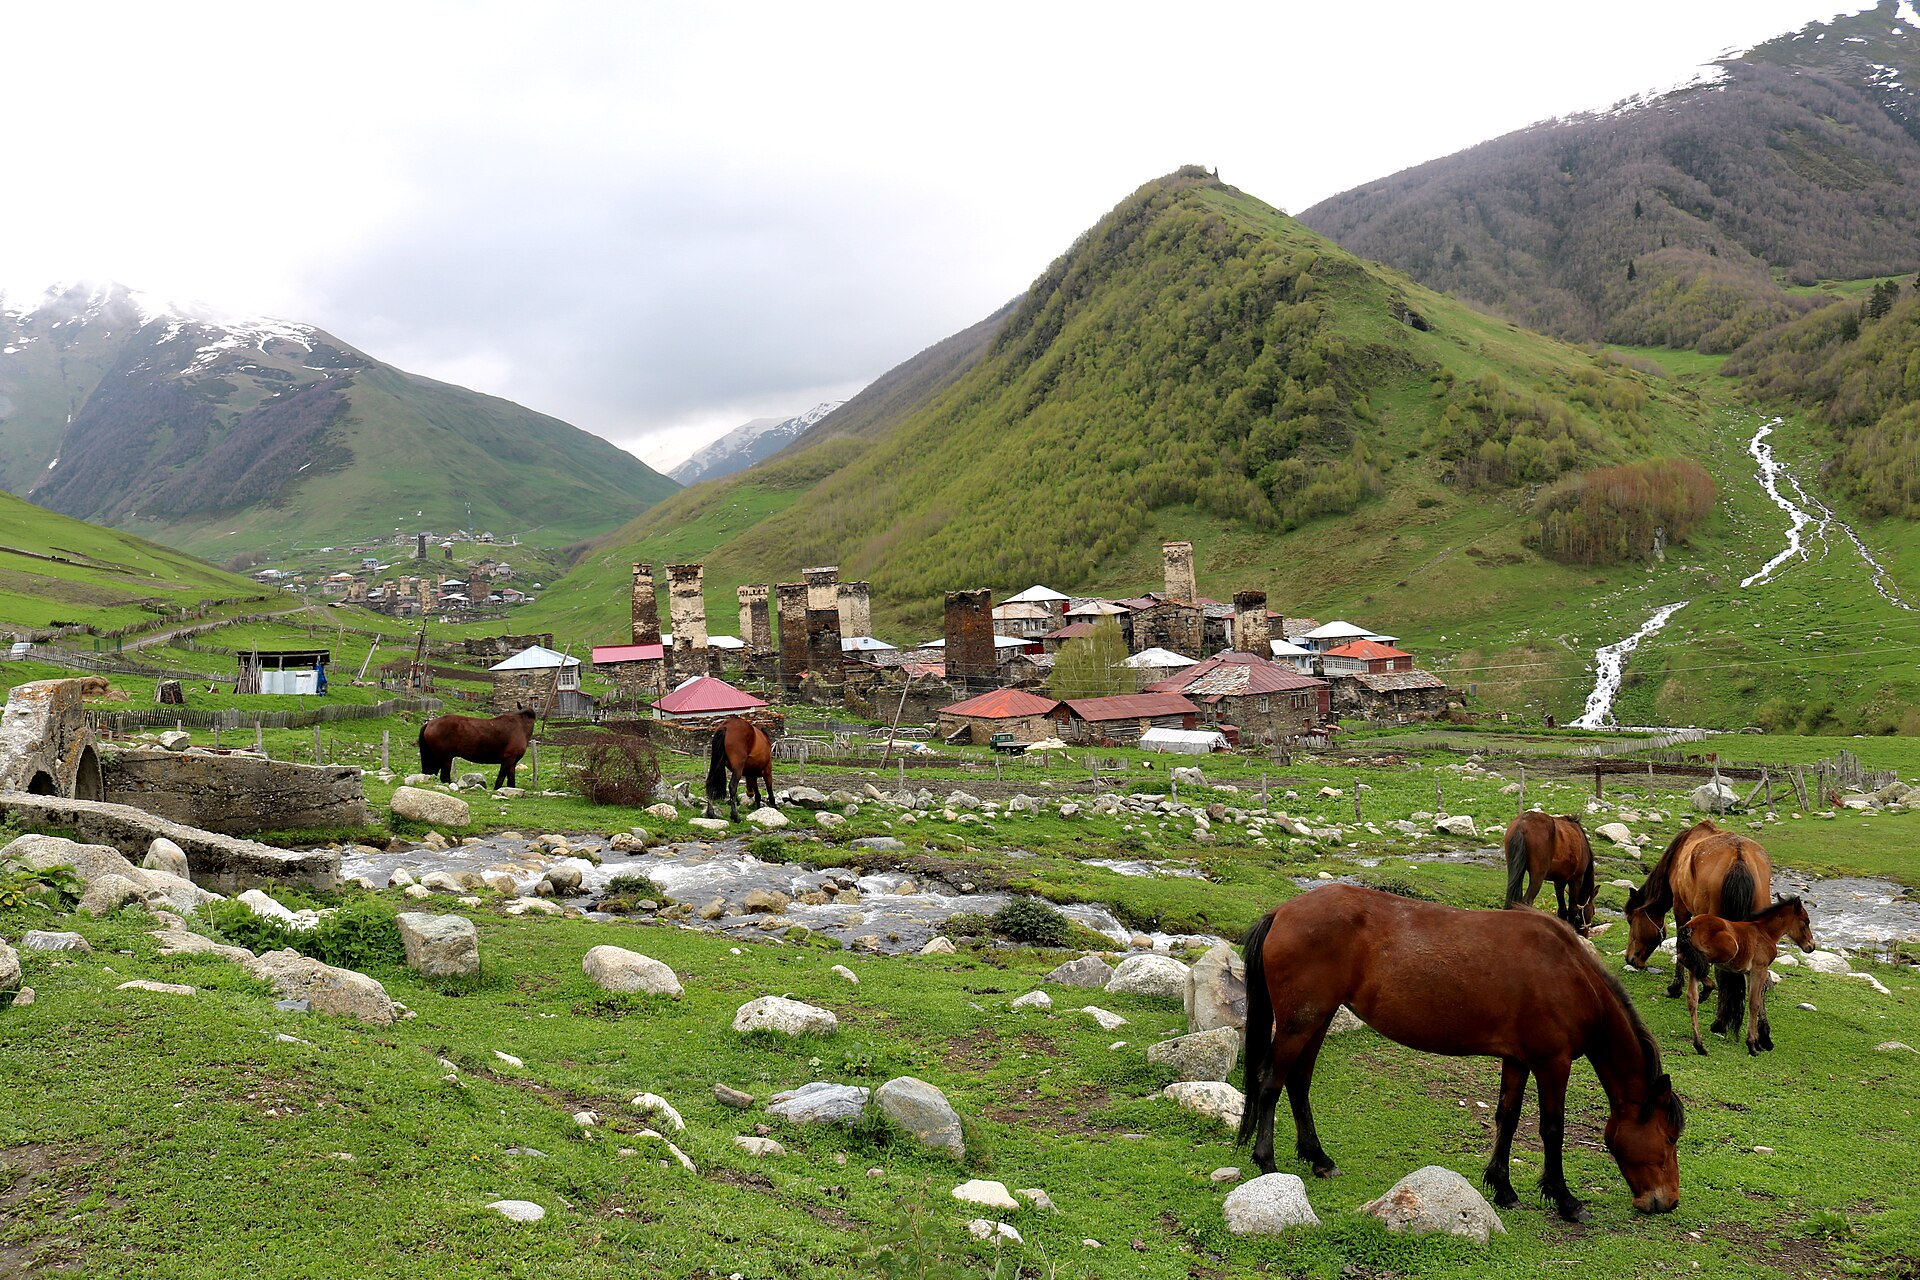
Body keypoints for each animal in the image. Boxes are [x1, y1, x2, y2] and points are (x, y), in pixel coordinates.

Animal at [1239, 884, 1683, 1222]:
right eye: (1668, 1136)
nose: (1667, 1201)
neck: (1570, 974)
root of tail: (1282, 911)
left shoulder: (1518, 1060)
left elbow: (1508, 1118)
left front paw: (1503, 1187)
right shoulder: (1552, 1064)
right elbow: (1552, 1130)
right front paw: (1565, 1200)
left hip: (1317, 1020)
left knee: (1298, 1084)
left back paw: (1319, 1158)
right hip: (1299, 1024)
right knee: (1270, 1084)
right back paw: (1267, 1163)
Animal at [1624, 819, 1771, 1038]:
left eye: (1630, 919)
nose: (1630, 958)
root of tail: (1739, 858)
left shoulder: (1681, 908)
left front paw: (1675, 988)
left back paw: (1719, 1022)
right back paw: (1762, 1031)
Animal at [1676, 897, 1815, 1057]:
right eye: (1806, 921)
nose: (1811, 946)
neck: (1765, 932)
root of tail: (1690, 926)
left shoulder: (1749, 973)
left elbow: (1758, 1001)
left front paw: (1760, 1043)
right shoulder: (1759, 969)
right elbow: (1754, 1003)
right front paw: (1752, 1045)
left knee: (1692, 997)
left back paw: (1700, 1045)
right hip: (1728, 949)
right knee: (1693, 961)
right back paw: (1708, 987)